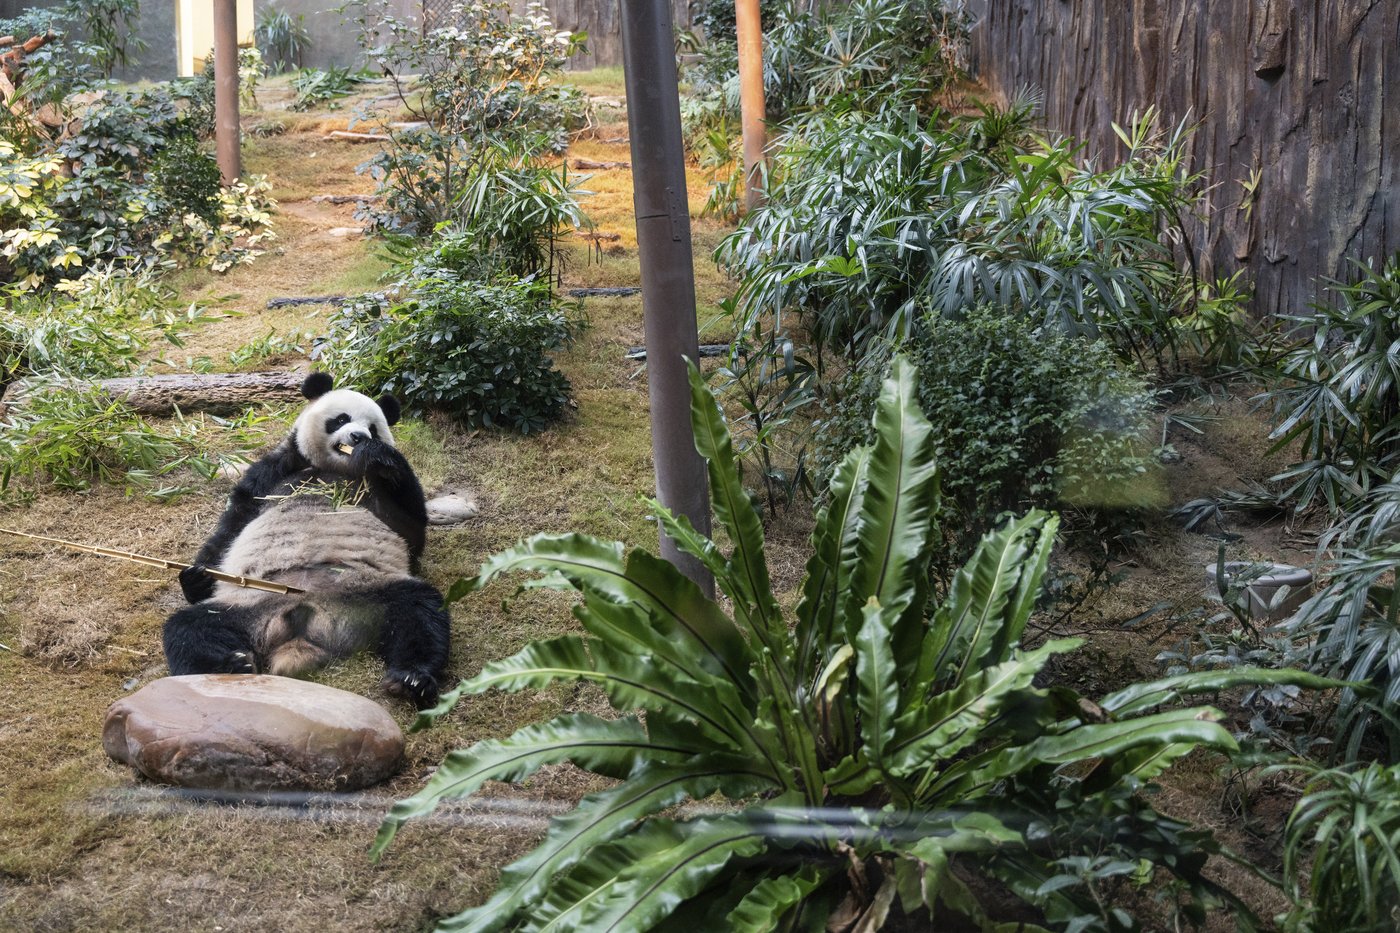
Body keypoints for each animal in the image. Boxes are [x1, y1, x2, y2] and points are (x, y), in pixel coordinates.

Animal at [162, 372, 450, 708]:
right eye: (342, 419)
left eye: (373, 428)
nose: (359, 437)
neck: (333, 469)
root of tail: (306, 619)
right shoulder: (278, 469)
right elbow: (236, 519)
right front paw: (196, 579)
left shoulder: (377, 488)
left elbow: (411, 530)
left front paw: (379, 456)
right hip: (249, 604)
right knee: (189, 629)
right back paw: (232, 666)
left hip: (369, 594)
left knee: (420, 612)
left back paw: (411, 679)